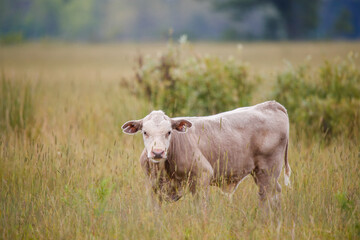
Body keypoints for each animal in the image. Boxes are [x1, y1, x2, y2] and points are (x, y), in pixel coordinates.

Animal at [122, 100, 292, 207]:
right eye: (145, 132)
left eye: (169, 132)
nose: (157, 152)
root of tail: (271, 104)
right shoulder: (152, 186)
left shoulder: (202, 176)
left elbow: (200, 208)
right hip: (260, 172)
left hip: (268, 170)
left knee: (269, 196)